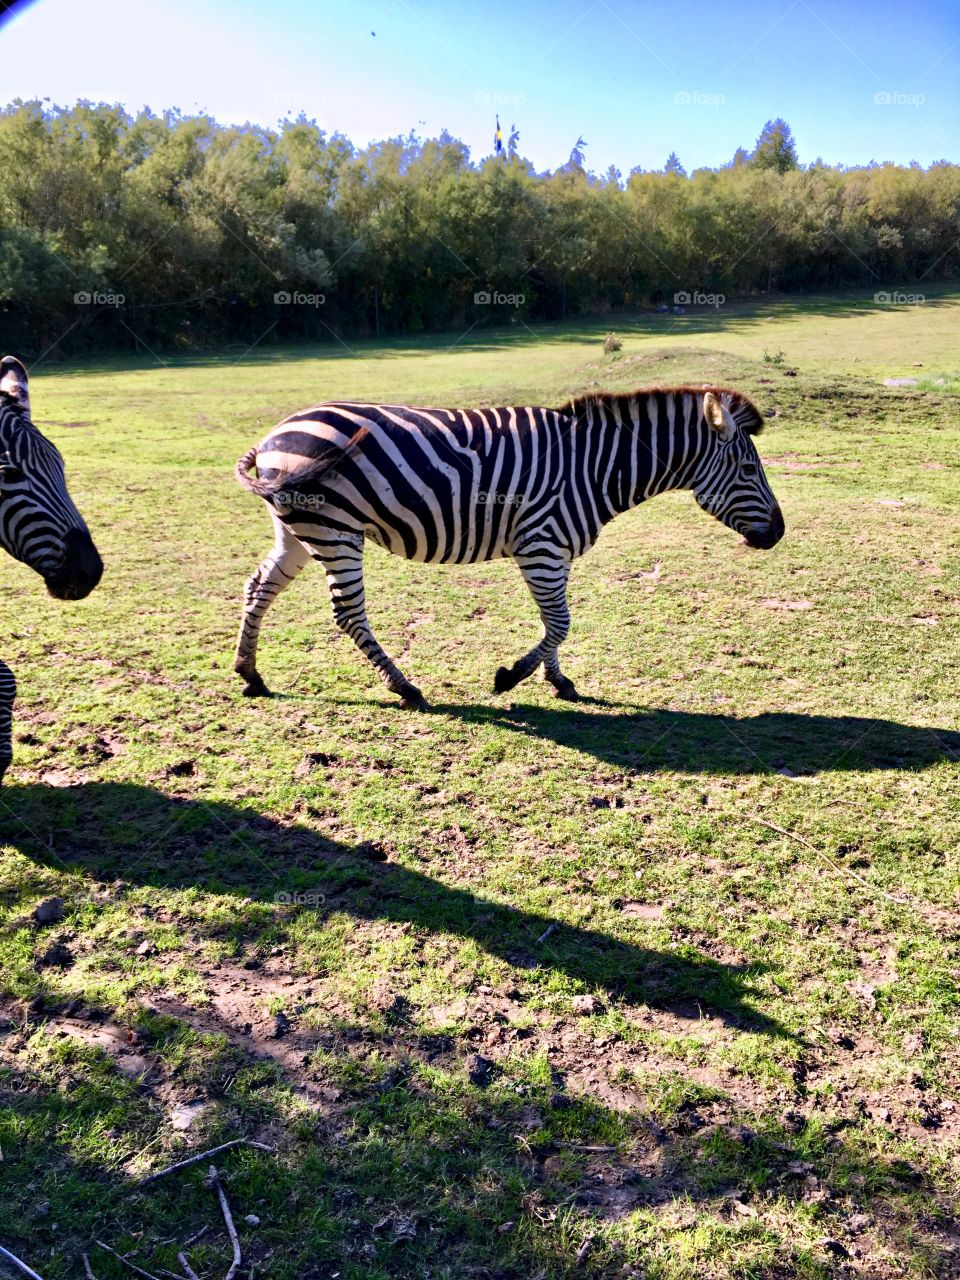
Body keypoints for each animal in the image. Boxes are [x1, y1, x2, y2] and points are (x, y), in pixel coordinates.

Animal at [234, 385, 783, 709]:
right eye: (749, 469)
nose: (778, 534)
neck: (595, 467)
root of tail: (273, 435)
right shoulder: (540, 544)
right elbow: (560, 622)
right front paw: (511, 677)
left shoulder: (555, 551)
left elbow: (556, 622)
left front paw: (559, 681)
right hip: (334, 528)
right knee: (348, 612)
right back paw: (405, 687)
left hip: (300, 528)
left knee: (260, 586)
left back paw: (250, 674)